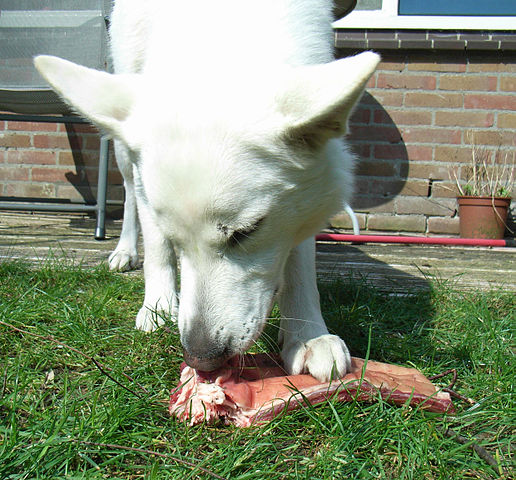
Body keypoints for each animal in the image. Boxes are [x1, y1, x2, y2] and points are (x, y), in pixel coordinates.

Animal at [34, 0, 376, 382]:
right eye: (176, 238)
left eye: (247, 232)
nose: (201, 359)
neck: (217, 26)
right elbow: (156, 243)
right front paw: (158, 304)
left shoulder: (301, 196)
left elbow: (299, 260)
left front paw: (308, 335)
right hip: (122, 150)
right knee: (129, 196)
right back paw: (125, 251)